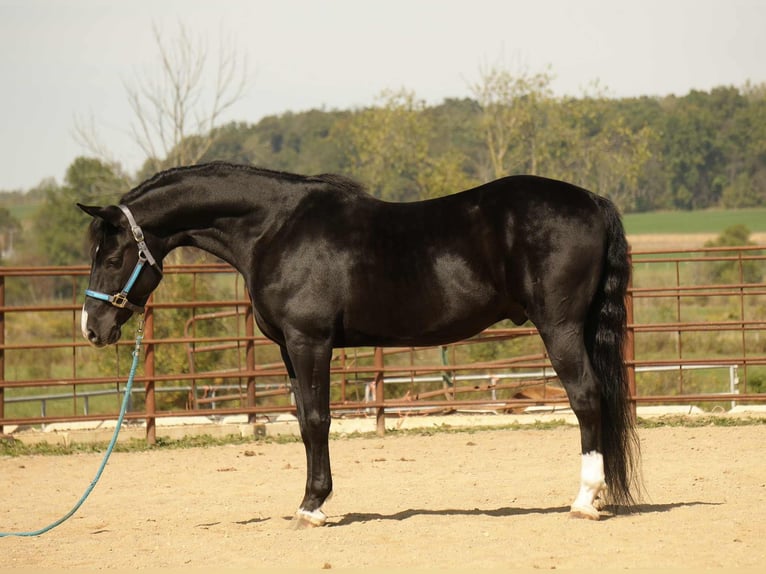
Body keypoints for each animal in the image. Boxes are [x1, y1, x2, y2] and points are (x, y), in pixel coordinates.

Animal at [78, 161, 641, 526]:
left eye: (112, 256)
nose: (92, 328)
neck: (275, 228)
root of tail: (592, 201)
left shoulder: (310, 342)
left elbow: (317, 420)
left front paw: (313, 508)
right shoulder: (289, 350)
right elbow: (304, 422)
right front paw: (311, 501)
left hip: (559, 327)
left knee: (587, 399)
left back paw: (584, 500)